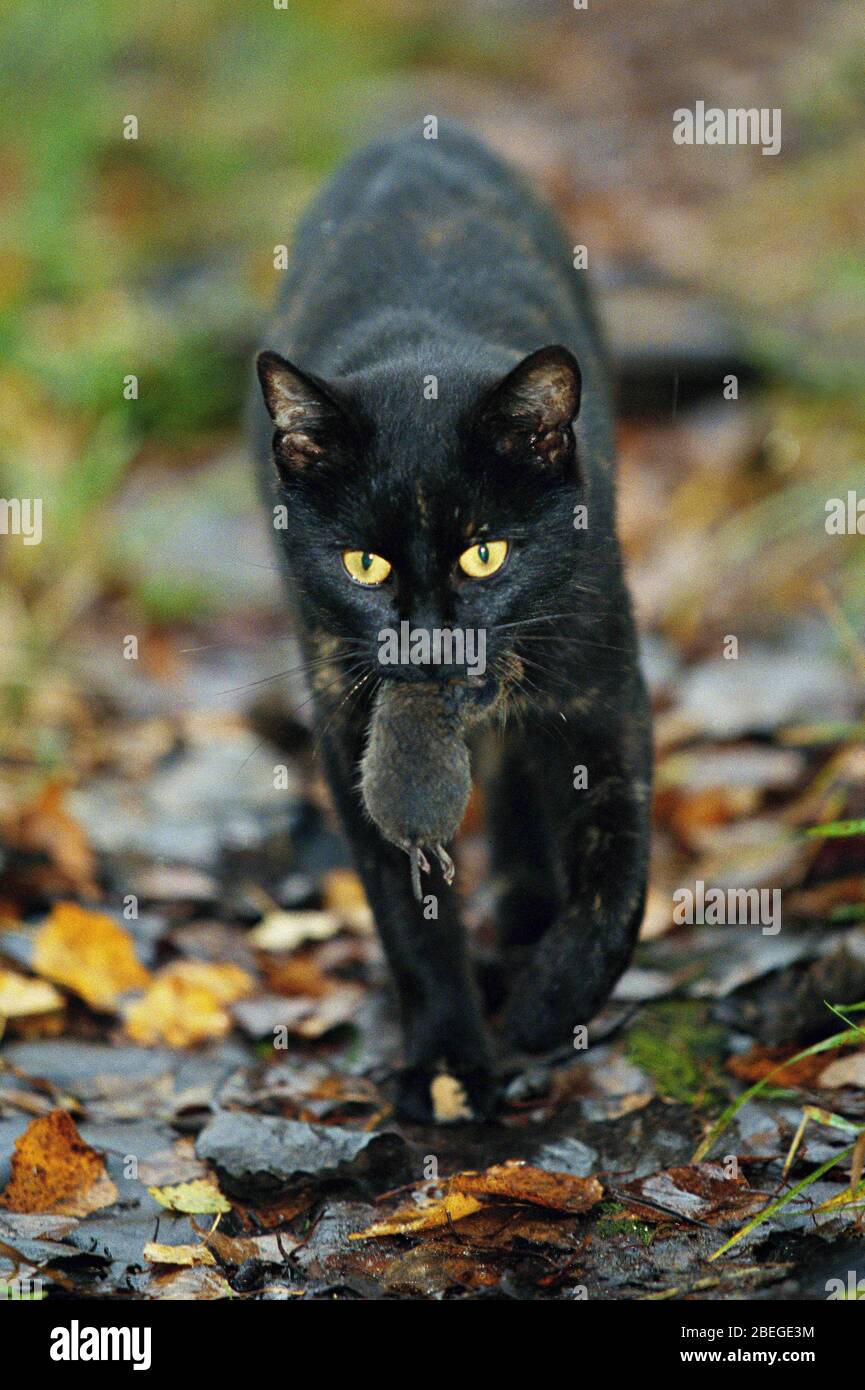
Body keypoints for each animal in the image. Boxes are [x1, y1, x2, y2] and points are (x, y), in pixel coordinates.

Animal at [250, 119, 650, 1117]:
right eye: (364, 564)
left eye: (483, 555)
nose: (430, 643)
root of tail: (415, 127)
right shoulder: (341, 723)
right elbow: (407, 913)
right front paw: (444, 1061)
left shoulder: (603, 695)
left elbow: (620, 872)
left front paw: (551, 1004)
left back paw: (527, 917)